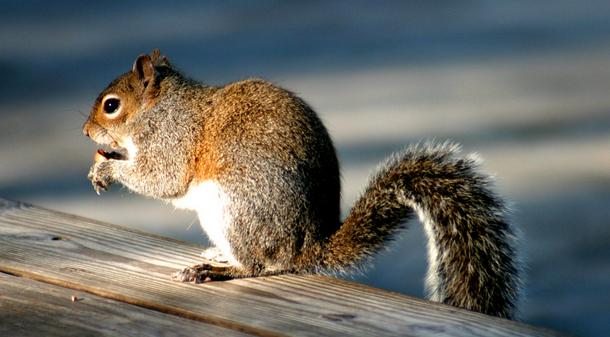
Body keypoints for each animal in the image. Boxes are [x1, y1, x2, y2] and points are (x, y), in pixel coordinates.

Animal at [82, 50, 516, 318]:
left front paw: (109, 170)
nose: (86, 132)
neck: (161, 107)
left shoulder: (172, 139)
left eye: (111, 105)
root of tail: (305, 249)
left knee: (259, 265)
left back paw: (215, 270)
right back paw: (218, 255)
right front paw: (100, 162)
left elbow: (162, 177)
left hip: (235, 207)